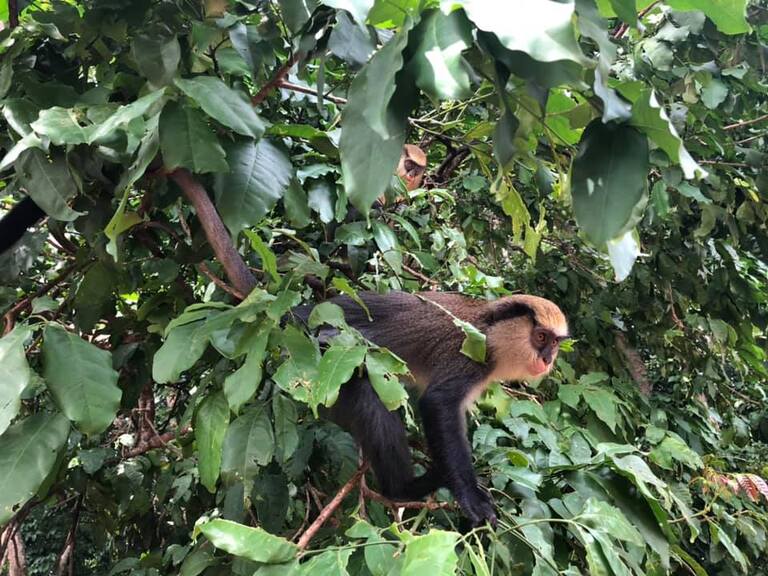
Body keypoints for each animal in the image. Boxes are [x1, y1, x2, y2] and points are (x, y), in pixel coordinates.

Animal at [296, 290, 568, 528]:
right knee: (365, 390)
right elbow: (438, 402)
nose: (547, 359)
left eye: (555, 342)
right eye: (541, 337)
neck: (490, 331)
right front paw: (471, 497)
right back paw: (404, 489)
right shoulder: (471, 356)